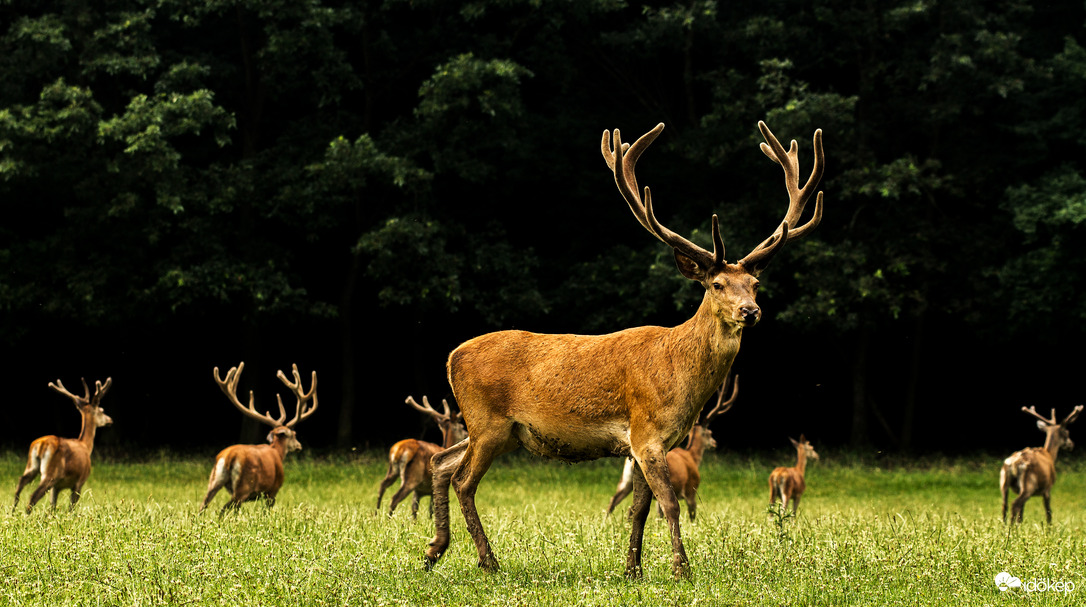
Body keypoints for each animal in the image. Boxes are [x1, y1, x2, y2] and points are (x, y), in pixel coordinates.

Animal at [12, 380, 113, 512]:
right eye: (101, 410)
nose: (110, 420)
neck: (86, 446)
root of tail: (42, 444)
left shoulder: (56, 487)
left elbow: (52, 507)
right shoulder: (79, 482)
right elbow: (71, 508)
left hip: (31, 466)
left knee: (20, 484)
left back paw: (13, 512)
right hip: (51, 473)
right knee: (33, 496)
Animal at [200, 362, 317, 514]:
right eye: (294, 434)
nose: (299, 446)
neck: (278, 452)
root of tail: (229, 456)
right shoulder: (273, 490)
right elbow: (267, 511)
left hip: (214, 480)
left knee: (203, 506)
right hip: (244, 486)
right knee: (224, 508)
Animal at [603, 373, 738, 521]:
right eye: (709, 433)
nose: (715, 443)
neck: (693, 457)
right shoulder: (691, 490)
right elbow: (692, 516)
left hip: (625, 481)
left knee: (614, 501)